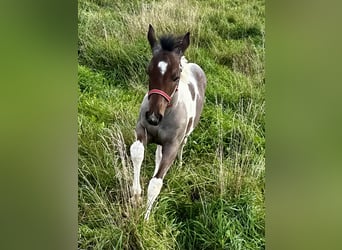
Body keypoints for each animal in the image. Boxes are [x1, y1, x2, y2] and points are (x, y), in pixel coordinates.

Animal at [130, 24, 206, 221]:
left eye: (175, 76)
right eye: (148, 71)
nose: (153, 117)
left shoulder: (172, 145)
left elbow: (156, 183)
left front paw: (145, 219)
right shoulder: (142, 130)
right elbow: (137, 152)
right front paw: (135, 195)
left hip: (186, 135)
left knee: (181, 147)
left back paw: (179, 164)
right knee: (157, 154)